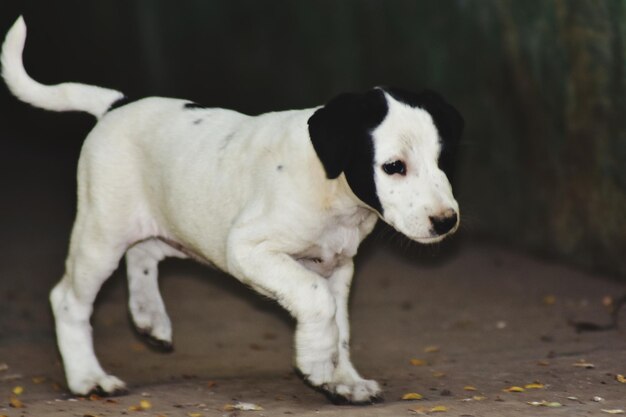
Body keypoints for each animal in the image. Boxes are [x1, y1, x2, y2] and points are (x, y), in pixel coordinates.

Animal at [0, 16, 458, 404]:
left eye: (442, 160)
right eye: (393, 167)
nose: (446, 221)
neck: (333, 189)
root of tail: (118, 104)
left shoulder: (337, 268)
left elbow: (341, 327)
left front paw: (342, 379)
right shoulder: (248, 249)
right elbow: (317, 303)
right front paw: (317, 364)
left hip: (166, 221)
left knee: (144, 252)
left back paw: (150, 317)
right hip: (102, 232)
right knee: (68, 299)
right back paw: (87, 377)